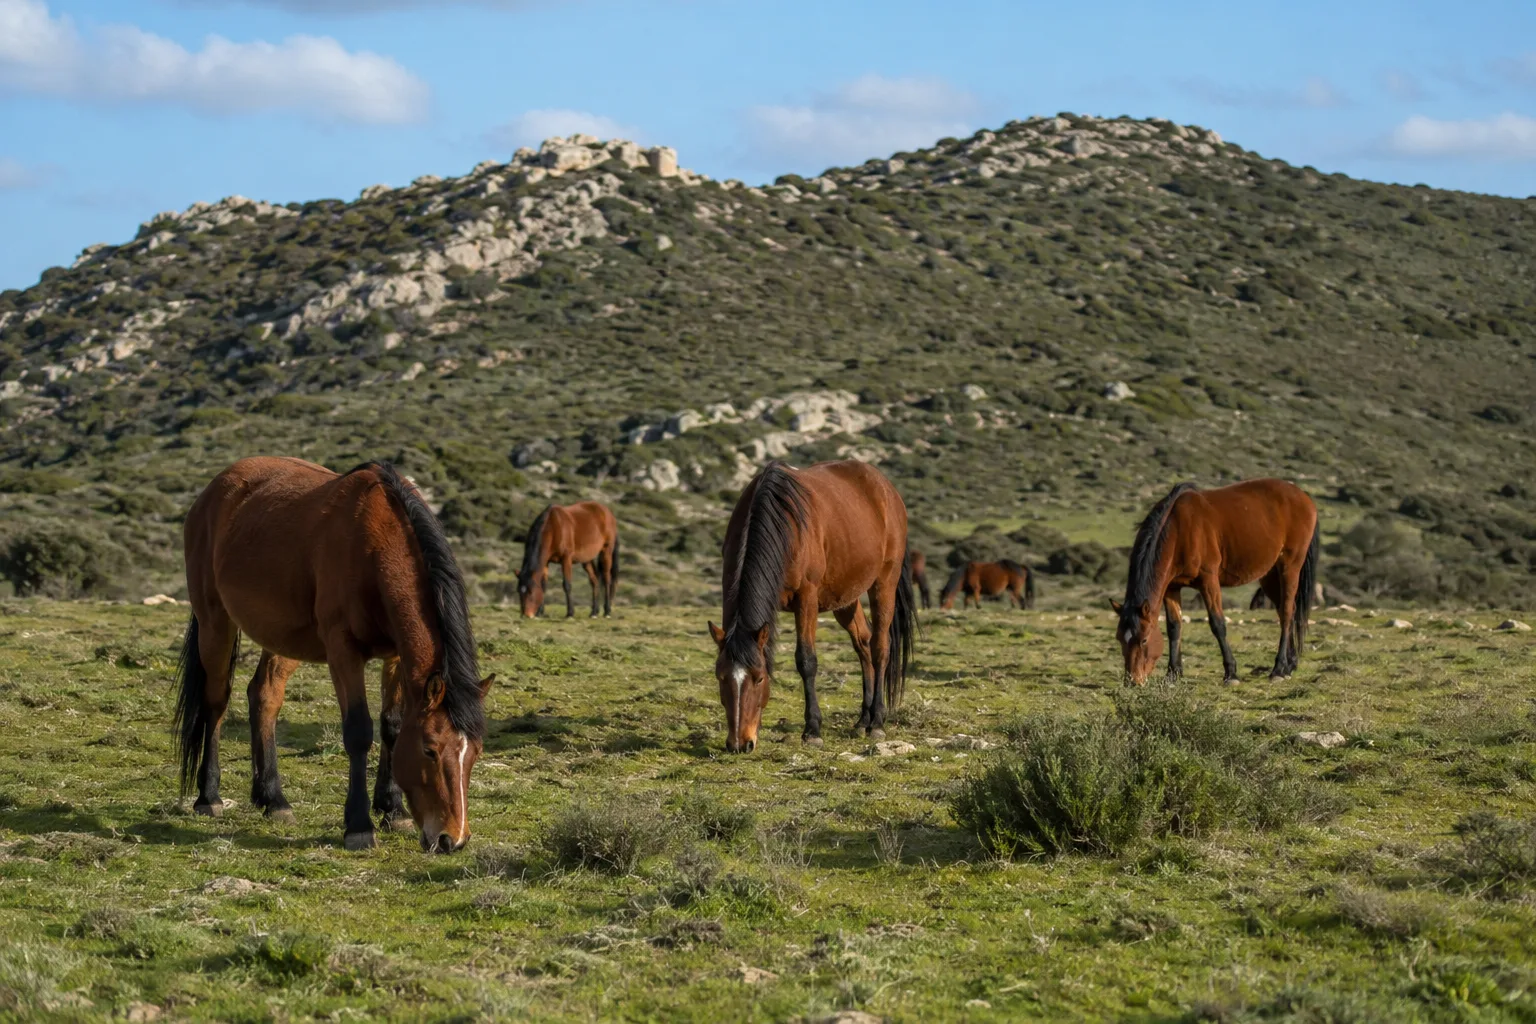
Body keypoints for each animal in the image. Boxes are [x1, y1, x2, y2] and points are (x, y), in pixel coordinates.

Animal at [175, 457, 492, 853]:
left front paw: (393, 809)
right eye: (430, 749)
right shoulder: (343, 651)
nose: (453, 839)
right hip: (214, 622)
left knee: (264, 696)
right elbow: (359, 731)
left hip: (282, 638)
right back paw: (209, 796)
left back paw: (273, 799)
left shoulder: (396, 656)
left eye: (475, 752)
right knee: (216, 702)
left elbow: (392, 725)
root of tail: (214, 490)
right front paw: (359, 825)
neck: (374, 548)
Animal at [707, 460, 917, 753]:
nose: (739, 744)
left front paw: (813, 729)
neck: (782, 525)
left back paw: (876, 721)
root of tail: (886, 488)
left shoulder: (807, 598)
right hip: (846, 597)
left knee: (879, 647)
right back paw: (863, 719)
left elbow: (806, 660)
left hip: (884, 582)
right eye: (721, 677)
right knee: (862, 642)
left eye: (759, 678)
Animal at [1111, 479, 1319, 686]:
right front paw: (1173, 674)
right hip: (1270, 576)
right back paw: (1289, 666)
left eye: (1144, 639)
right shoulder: (1171, 587)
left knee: (1287, 612)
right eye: (1119, 638)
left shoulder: (1208, 581)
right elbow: (1174, 627)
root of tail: (1303, 496)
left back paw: (1278, 669)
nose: (1132, 680)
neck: (1180, 529)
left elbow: (1218, 624)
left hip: (1289, 567)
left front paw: (1231, 673)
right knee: (1286, 610)